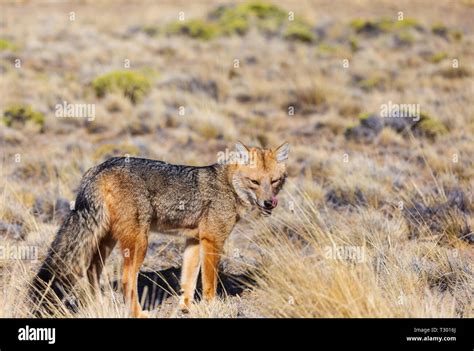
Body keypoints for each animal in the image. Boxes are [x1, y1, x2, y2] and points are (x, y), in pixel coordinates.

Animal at [30, 141, 288, 320]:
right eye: (255, 182)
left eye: (275, 181)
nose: (269, 203)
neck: (229, 185)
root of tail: (100, 167)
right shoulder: (212, 240)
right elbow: (209, 283)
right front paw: (211, 306)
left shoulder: (193, 241)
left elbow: (188, 280)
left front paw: (185, 308)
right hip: (139, 242)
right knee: (126, 279)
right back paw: (137, 313)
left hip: (107, 240)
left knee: (92, 270)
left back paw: (99, 305)